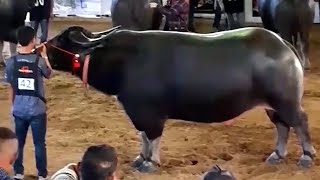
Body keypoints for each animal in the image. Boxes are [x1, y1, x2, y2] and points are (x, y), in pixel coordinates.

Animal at [46, 26, 316, 173]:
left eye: (60, 40)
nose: (42, 46)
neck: (121, 60)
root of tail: (283, 44)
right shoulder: (138, 113)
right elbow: (143, 137)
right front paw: (140, 158)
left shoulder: (150, 114)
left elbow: (152, 137)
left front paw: (150, 163)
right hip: (272, 105)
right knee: (282, 126)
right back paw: (277, 155)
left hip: (286, 101)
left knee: (300, 122)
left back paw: (306, 156)